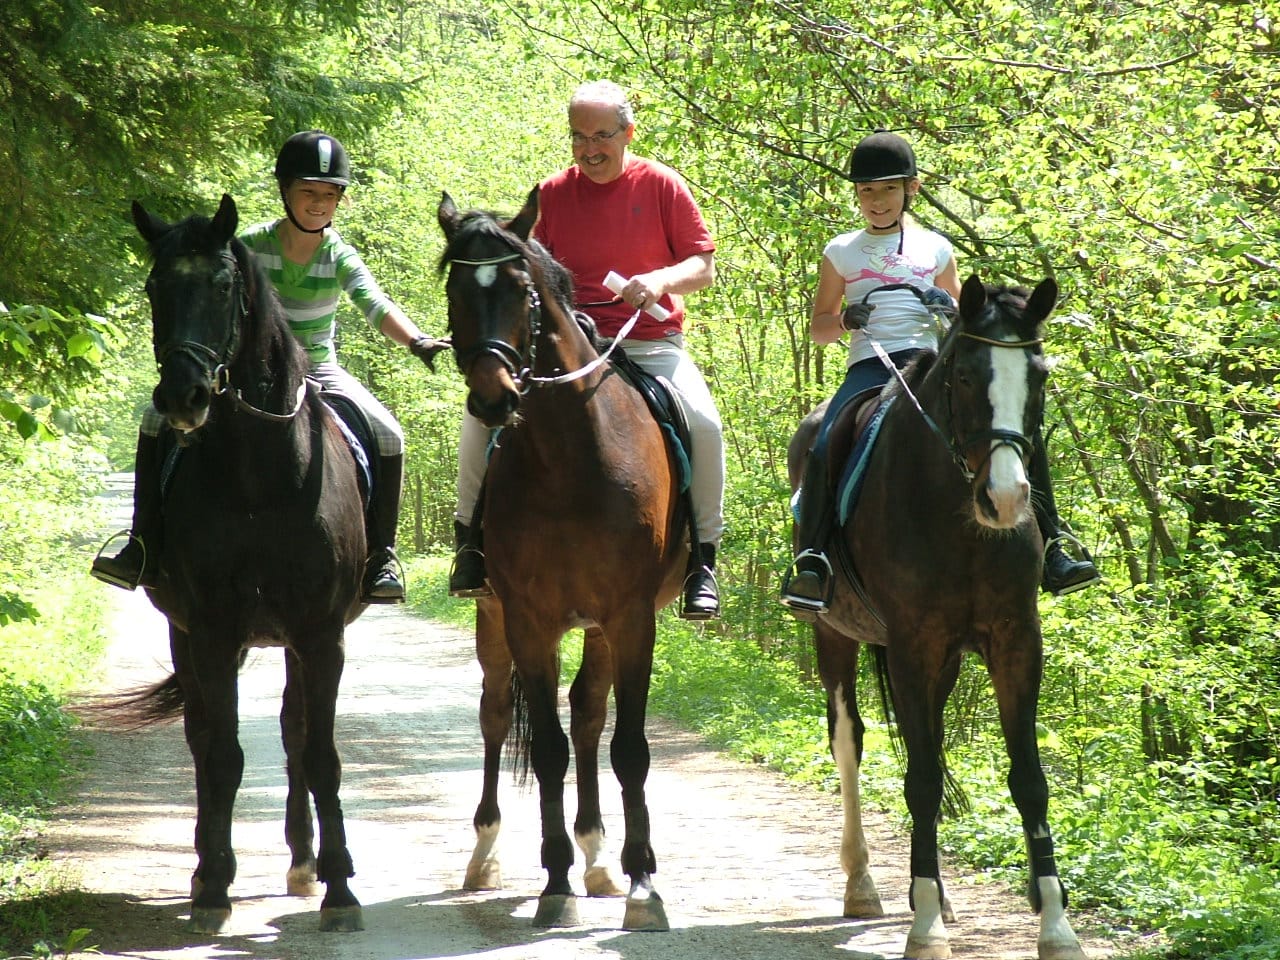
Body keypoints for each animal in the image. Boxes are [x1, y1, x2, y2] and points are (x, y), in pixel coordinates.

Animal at [97, 194, 367, 933]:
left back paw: (304, 862)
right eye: (155, 287)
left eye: (223, 287)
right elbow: (221, 754)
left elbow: (321, 754)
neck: (260, 476)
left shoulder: (320, 634)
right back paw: (204, 866)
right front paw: (214, 883)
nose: (182, 398)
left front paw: (340, 887)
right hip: (186, 635)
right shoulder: (213, 632)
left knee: (295, 732)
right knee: (201, 739)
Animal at [436, 186, 690, 931]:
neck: (568, 455)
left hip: (603, 626)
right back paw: (487, 852)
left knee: (589, 714)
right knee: (496, 712)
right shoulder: (528, 617)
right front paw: (554, 883)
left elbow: (626, 747)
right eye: (456, 289)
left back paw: (600, 859)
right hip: (494, 620)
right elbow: (545, 748)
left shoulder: (632, 616)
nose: (493, 398)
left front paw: (643, 885)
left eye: (520, 289)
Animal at [788, 276, 1086, 960]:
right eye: (968, 375)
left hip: (945, 658)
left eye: (1040, 374)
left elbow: (1029, 779)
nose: (1005, 498)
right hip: (833, 633)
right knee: (849, 741)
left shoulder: (1014, 641)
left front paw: (1056, 926)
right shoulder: (911, 646)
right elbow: (920, 778)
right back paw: (864, 883)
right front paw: (924, 927)